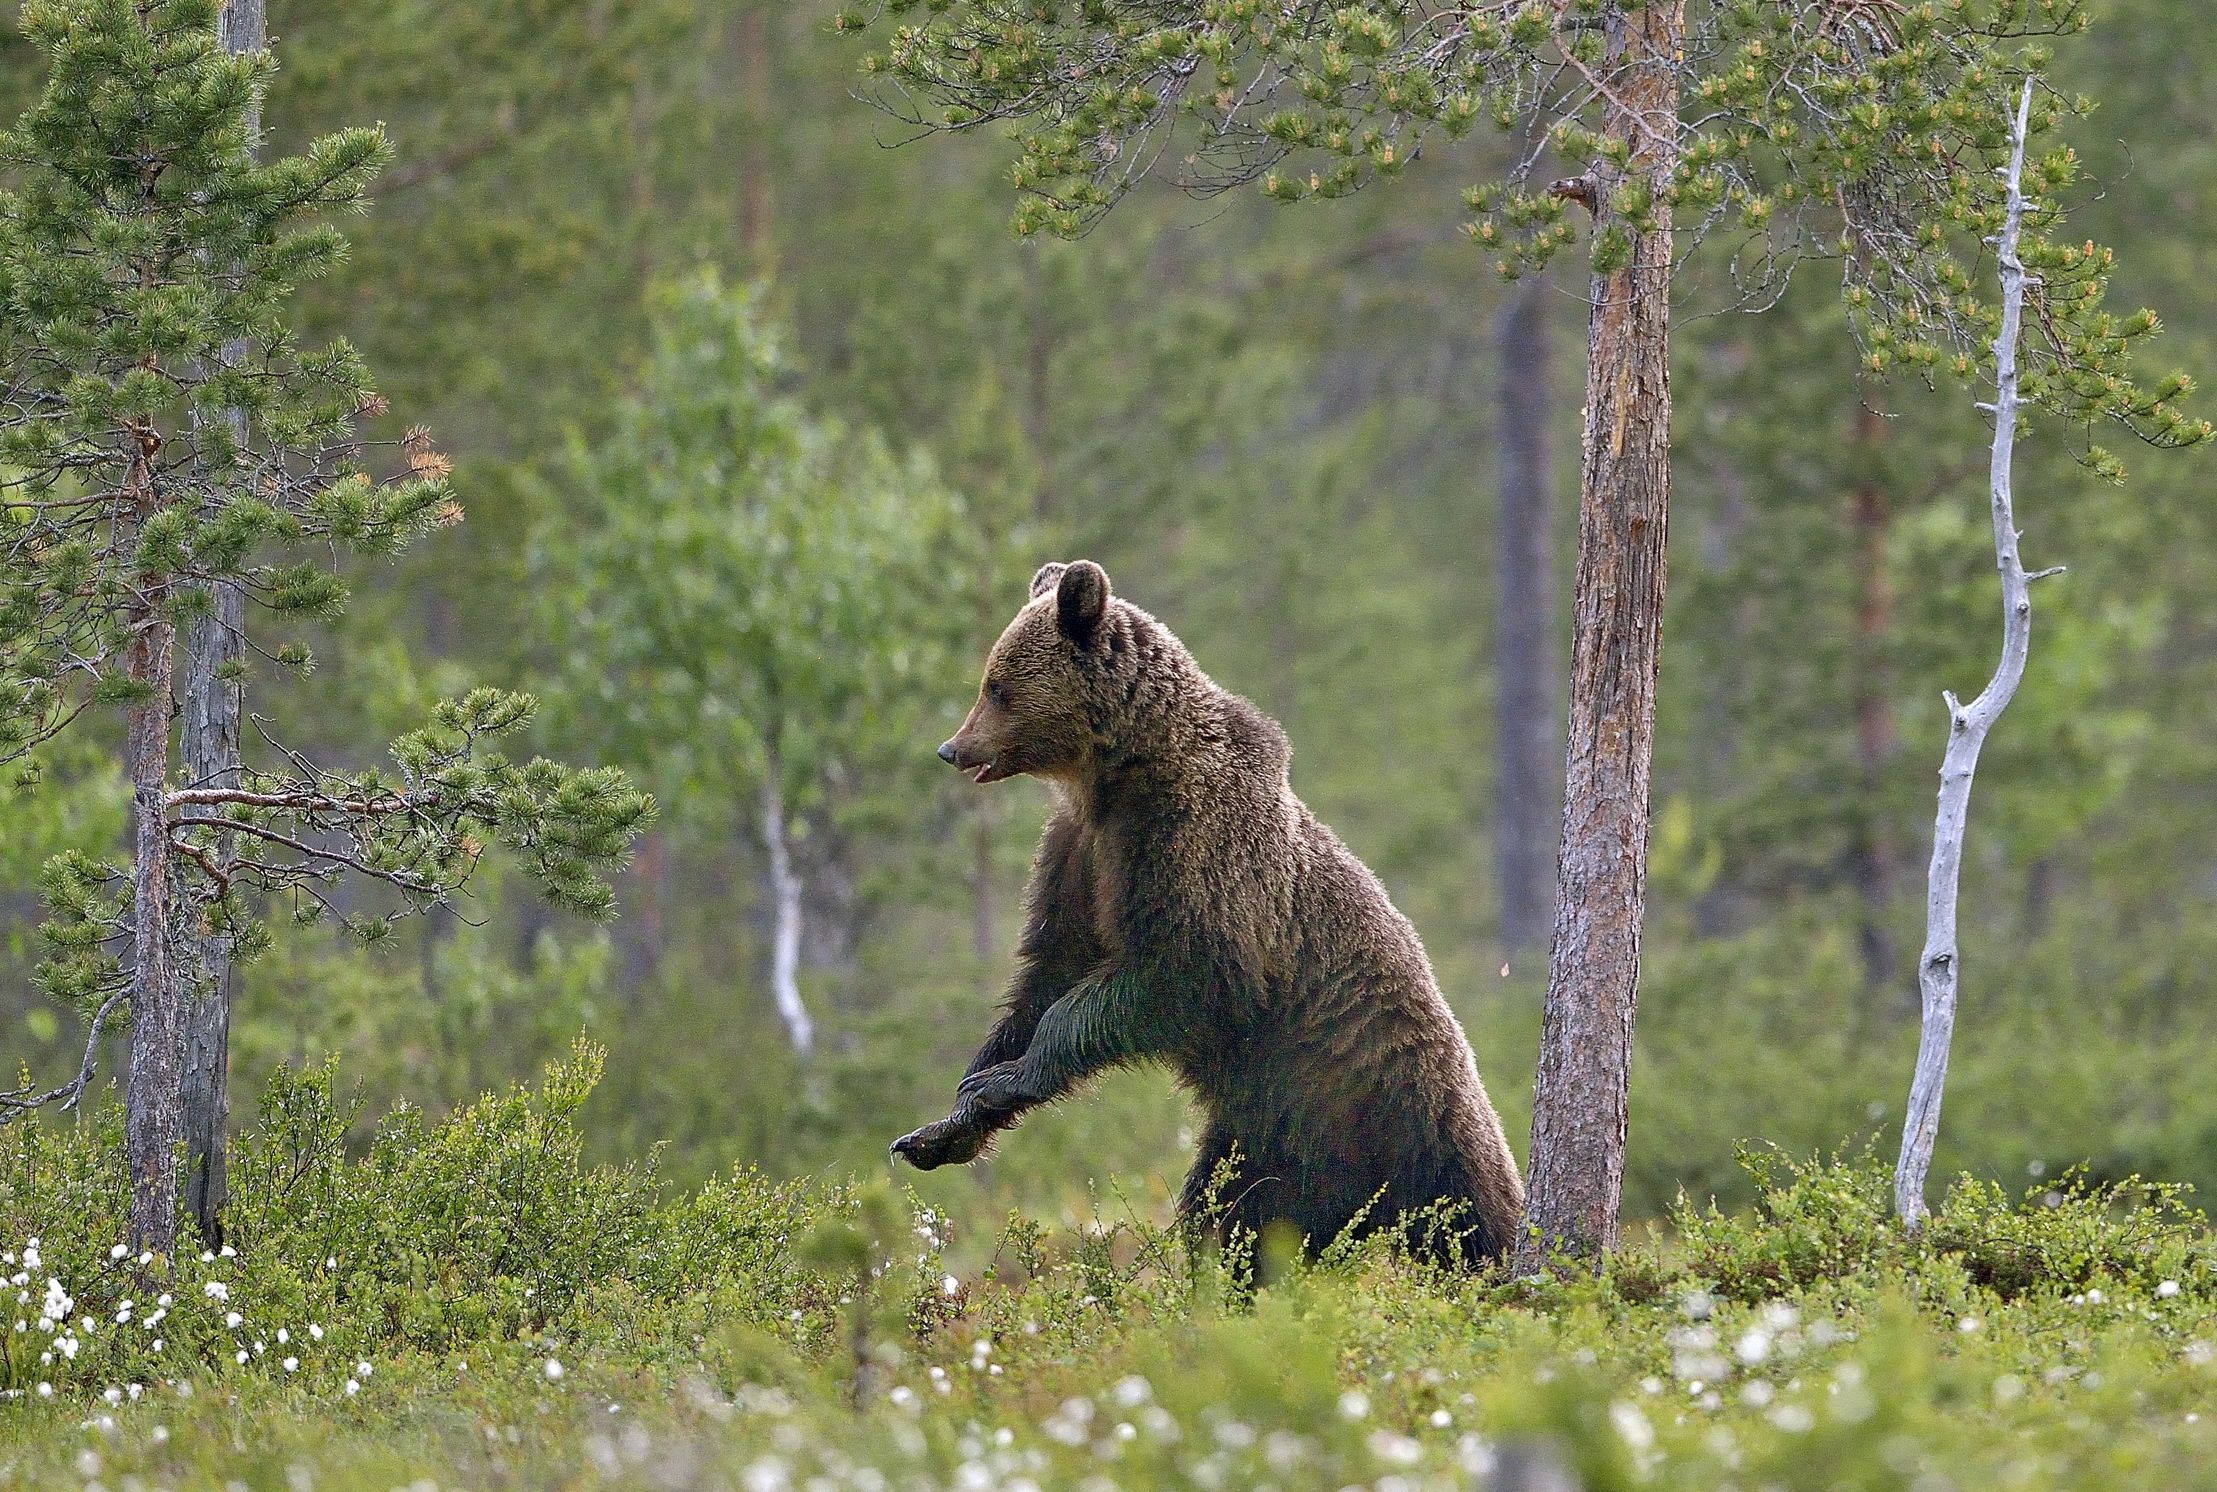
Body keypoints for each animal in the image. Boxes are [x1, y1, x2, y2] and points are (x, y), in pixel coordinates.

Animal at [891, 559, 1525, 1263]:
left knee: (1466, 1221)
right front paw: (947, 1120)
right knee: (1234, 1219)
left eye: (997, 687)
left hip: (1386, 1104)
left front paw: (1003, 1078)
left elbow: (1179, 974)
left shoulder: (1192, 850)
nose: (952, 748)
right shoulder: (1077, 854)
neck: (1115, 775)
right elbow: (1048, 971)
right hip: (1265, 1141)